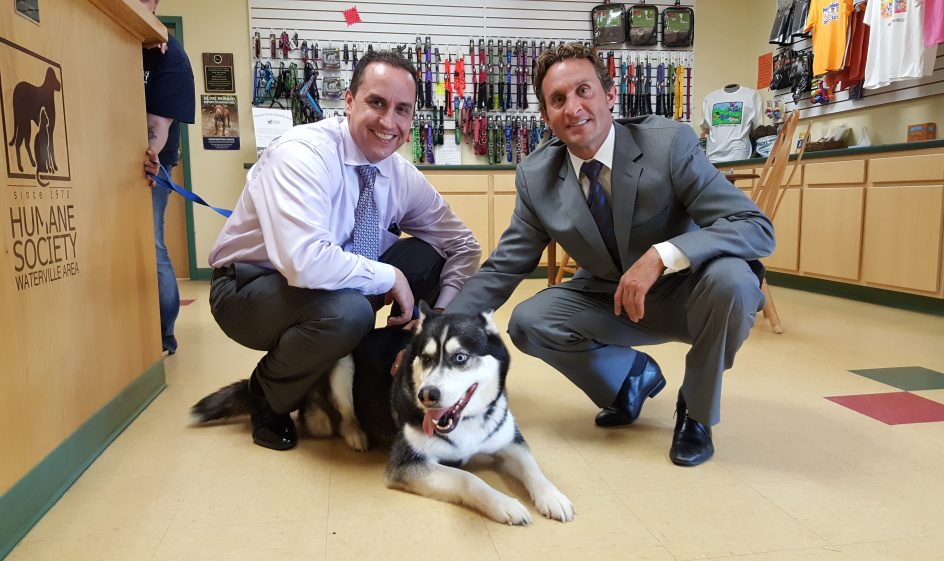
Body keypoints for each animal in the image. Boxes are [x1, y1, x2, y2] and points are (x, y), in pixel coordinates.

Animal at [190, 304, 576, 524]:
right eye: (425, 358)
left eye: (460, 358)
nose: (427, 395)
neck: (465, 425)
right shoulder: (407, 464)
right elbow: (470, 480)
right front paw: (505, 504)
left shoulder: (509, 441)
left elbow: (533, 467)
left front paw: (552, 497)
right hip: (343, 365)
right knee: (341, 418)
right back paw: (357, 435)